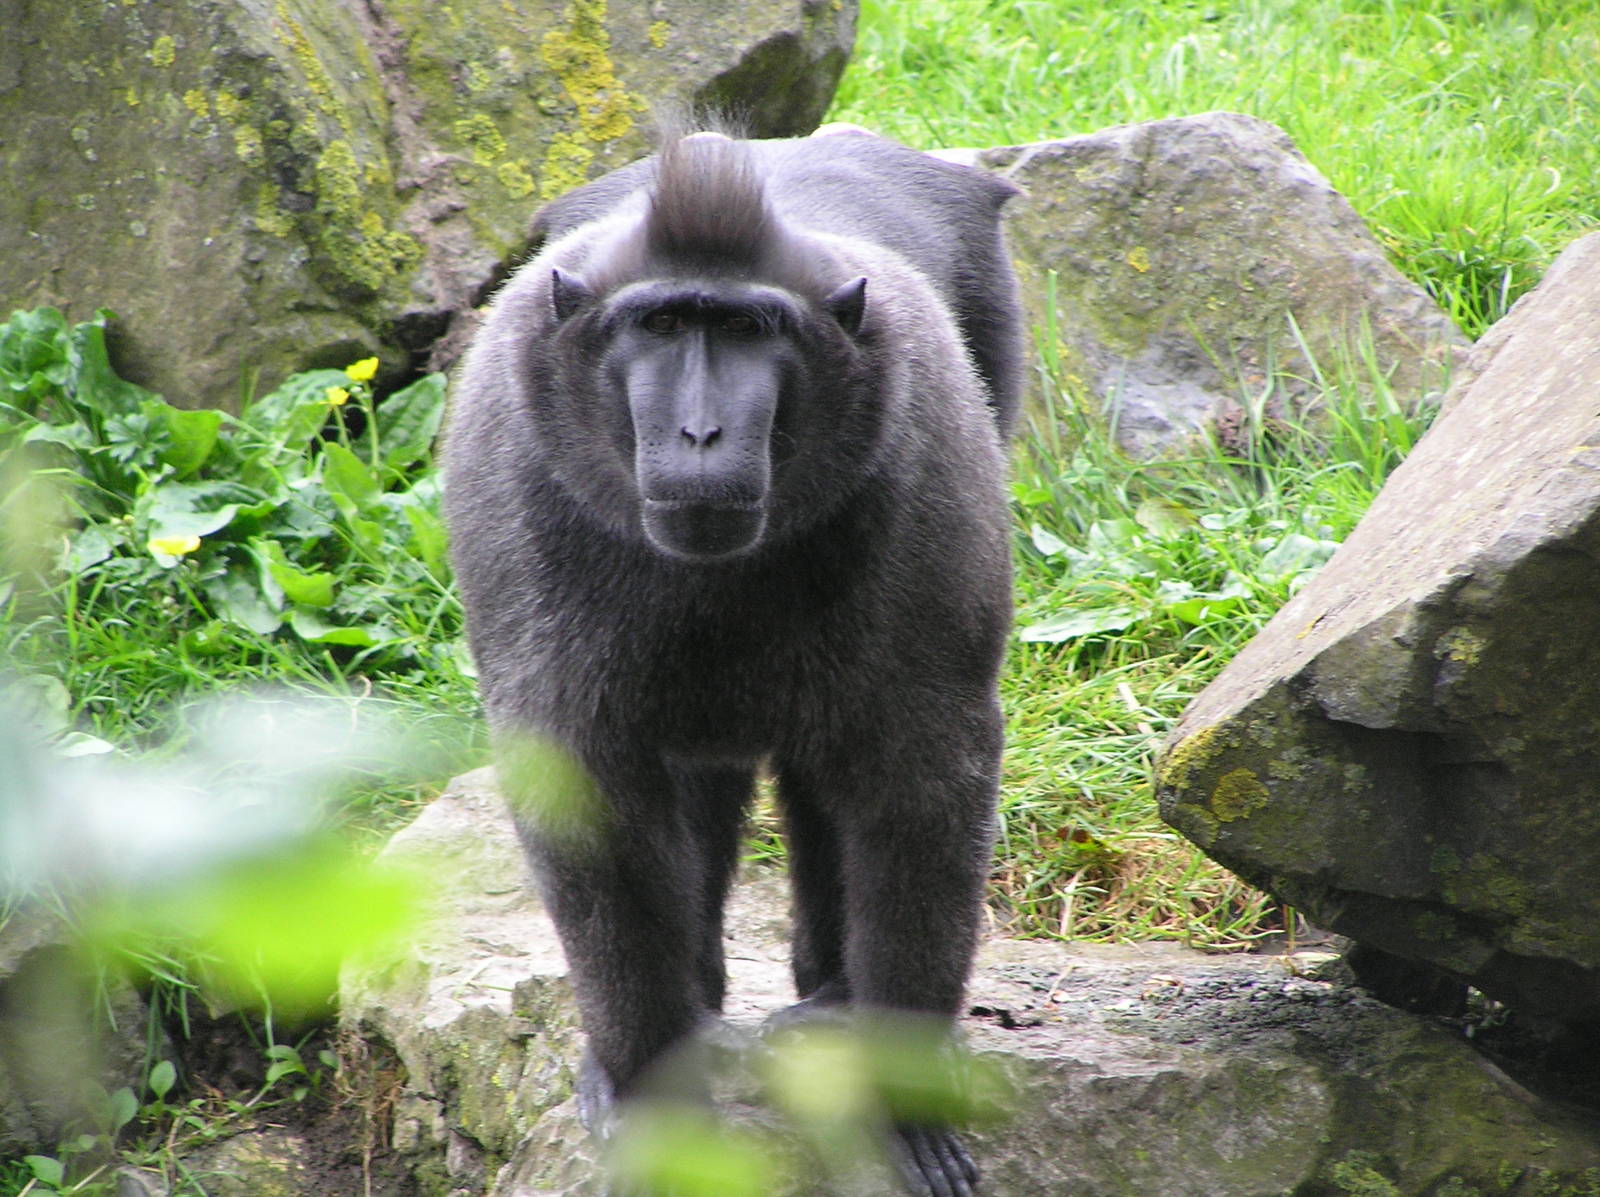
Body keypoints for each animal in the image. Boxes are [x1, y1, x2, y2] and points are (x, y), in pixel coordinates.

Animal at [443, 127, 1023, 1197]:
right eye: (666, 323)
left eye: (752, 329)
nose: (702, 432)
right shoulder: (522, 476)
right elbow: (590, 796)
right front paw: (651, 1089)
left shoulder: (925, 453)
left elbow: (920, 778)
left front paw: (908, 1094)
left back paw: (832, 994)